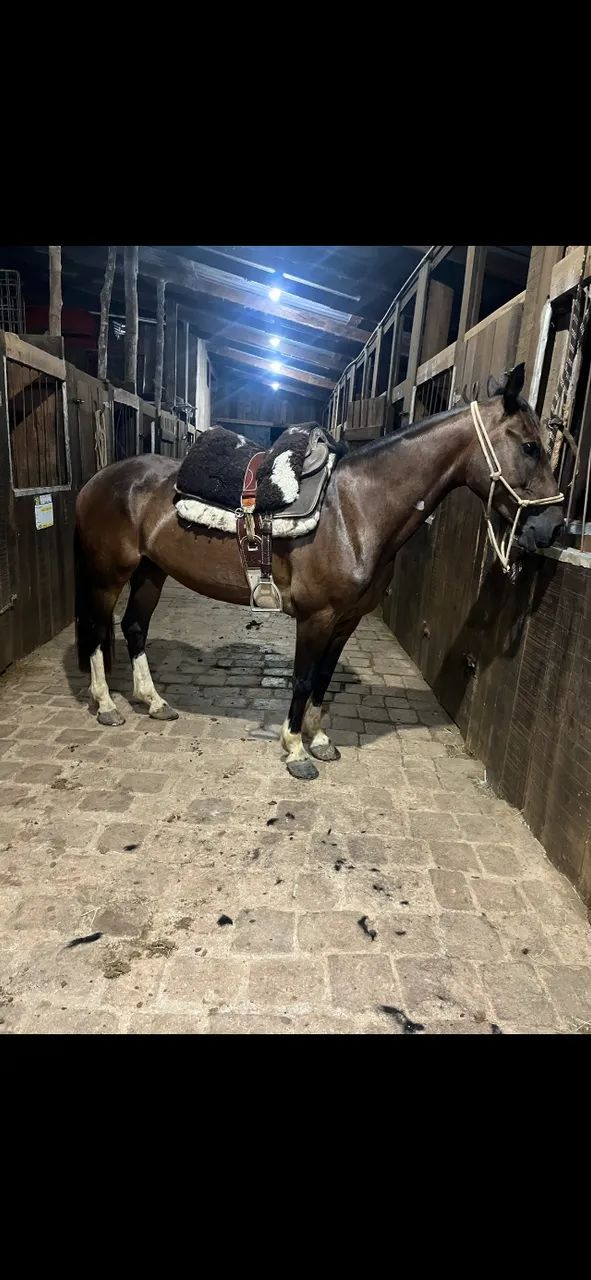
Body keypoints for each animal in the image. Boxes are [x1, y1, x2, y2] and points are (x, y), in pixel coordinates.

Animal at [74, 363, 564, 781]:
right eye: (529, 446)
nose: (553, 526)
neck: (354, 511)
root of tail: (99, 479)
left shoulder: (346, 620)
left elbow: (324, 678)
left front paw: (320, 739)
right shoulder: (317, 617)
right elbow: (305, 677)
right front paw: (295, 750)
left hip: (151, 572)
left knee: (134, 628)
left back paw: (153, 701)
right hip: (108, 575)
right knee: (99, 630)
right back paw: (106, 704)